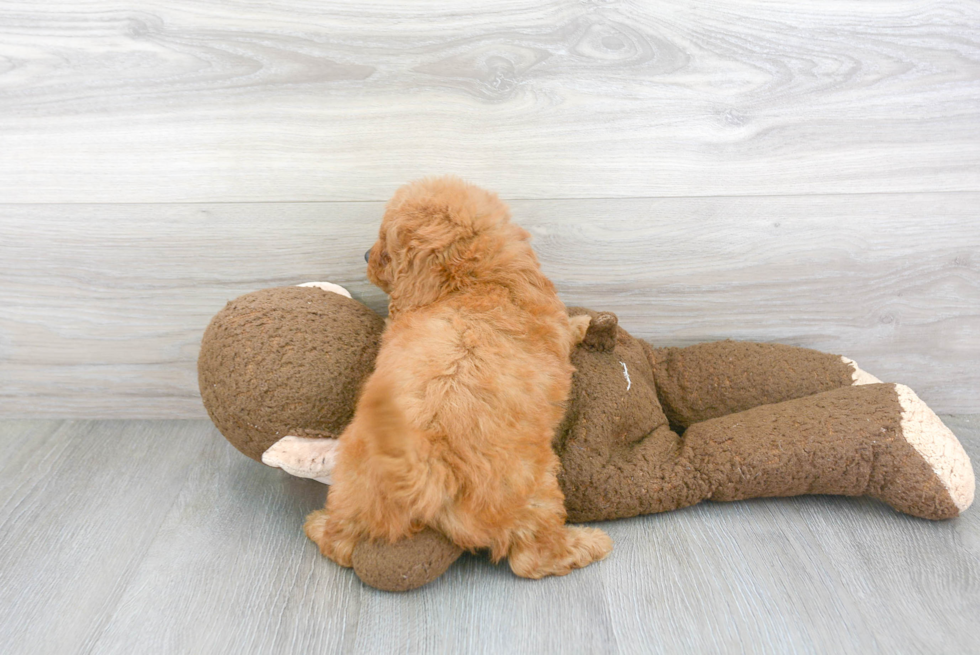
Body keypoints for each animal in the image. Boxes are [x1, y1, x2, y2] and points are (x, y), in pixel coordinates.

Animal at [306, 176, 612, 580]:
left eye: (385, 248)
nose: (365, 256)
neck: (472, 285)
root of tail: (426, 470)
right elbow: (570, 329)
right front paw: (586, 323)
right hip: (534, 489)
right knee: (532, 558)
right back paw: (590, 543)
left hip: (353, 489)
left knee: (340, 542)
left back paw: (316, 523)